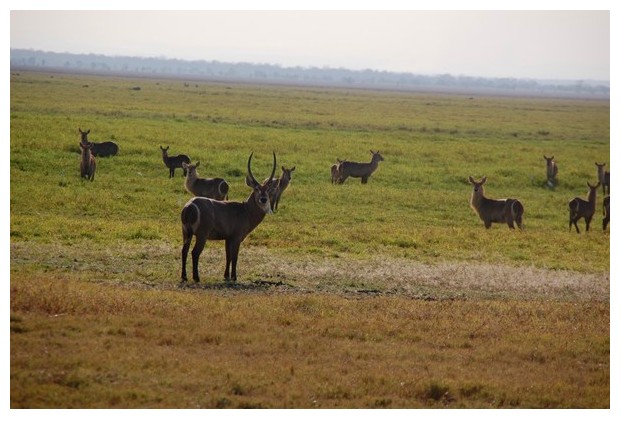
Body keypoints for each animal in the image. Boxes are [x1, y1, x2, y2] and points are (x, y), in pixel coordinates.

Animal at [179, 152, 276, 282]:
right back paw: (196, 277)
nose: (263, 199)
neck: (245, 210)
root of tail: (189, 206)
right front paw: (234, 277)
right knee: (195, 252)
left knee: (184, 250)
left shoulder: (227, 238)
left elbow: (228, 256)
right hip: (202, 235)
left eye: (268, 189)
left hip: (186, 232)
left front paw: (226, 275)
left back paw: (184, 276)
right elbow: (234, 257)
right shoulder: (236, 237)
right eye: (256, 189)